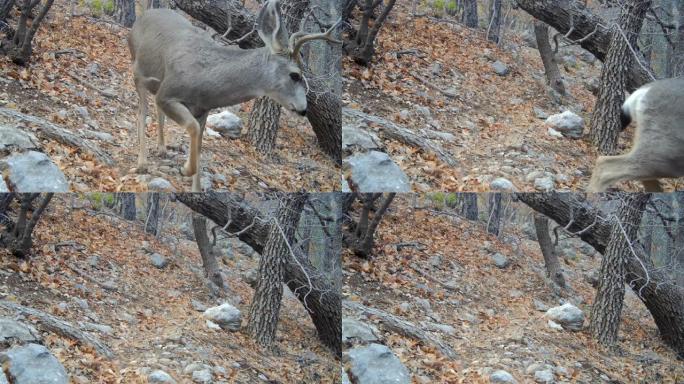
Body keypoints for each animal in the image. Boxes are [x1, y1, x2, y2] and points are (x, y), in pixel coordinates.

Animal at [127, 0, 340, 192]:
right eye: (295, 75)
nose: (303, 109)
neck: (205, 79)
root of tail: (142, 17)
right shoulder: (168, 94)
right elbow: (192, 128)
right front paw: (185, 169)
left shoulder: (202, 109)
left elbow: (199, 143)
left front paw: (196, 188)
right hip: (137, 72)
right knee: (142, 111)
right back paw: (142, 163)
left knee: (156, 110)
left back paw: (161, 149)